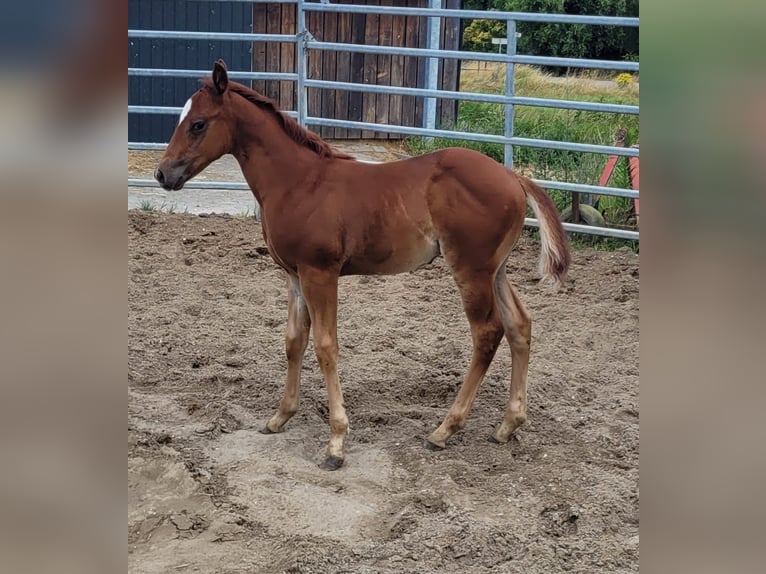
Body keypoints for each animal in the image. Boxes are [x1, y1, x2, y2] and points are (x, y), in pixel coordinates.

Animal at [155, 60, 570, 470]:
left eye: (198, 124)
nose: (163, 174)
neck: (298, 182)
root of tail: (513, 177)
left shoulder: (320, 274)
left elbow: (325, 346)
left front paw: (336, 443)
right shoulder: (293, 275)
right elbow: (294, 340)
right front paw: (279, 417)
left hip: (470, 270)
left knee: (487, 333)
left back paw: (444, 430)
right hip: (495, 270)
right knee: (519, 324)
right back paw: (508, 424)